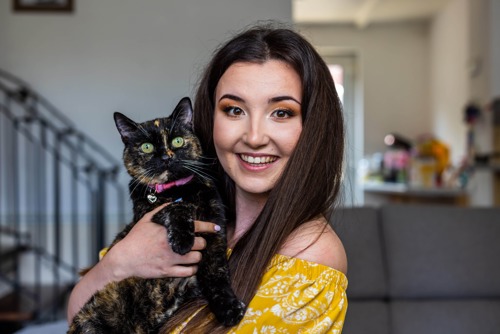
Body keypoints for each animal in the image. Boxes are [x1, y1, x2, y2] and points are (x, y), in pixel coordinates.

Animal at [67, 97, 247, 334]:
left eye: (178, 141)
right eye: (147, 147)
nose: (165, 157)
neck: (179, 190)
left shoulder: (215, 229)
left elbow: (217, 275)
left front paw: (229, 308)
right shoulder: (147, 213)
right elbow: (176, 207)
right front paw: (182, 241)